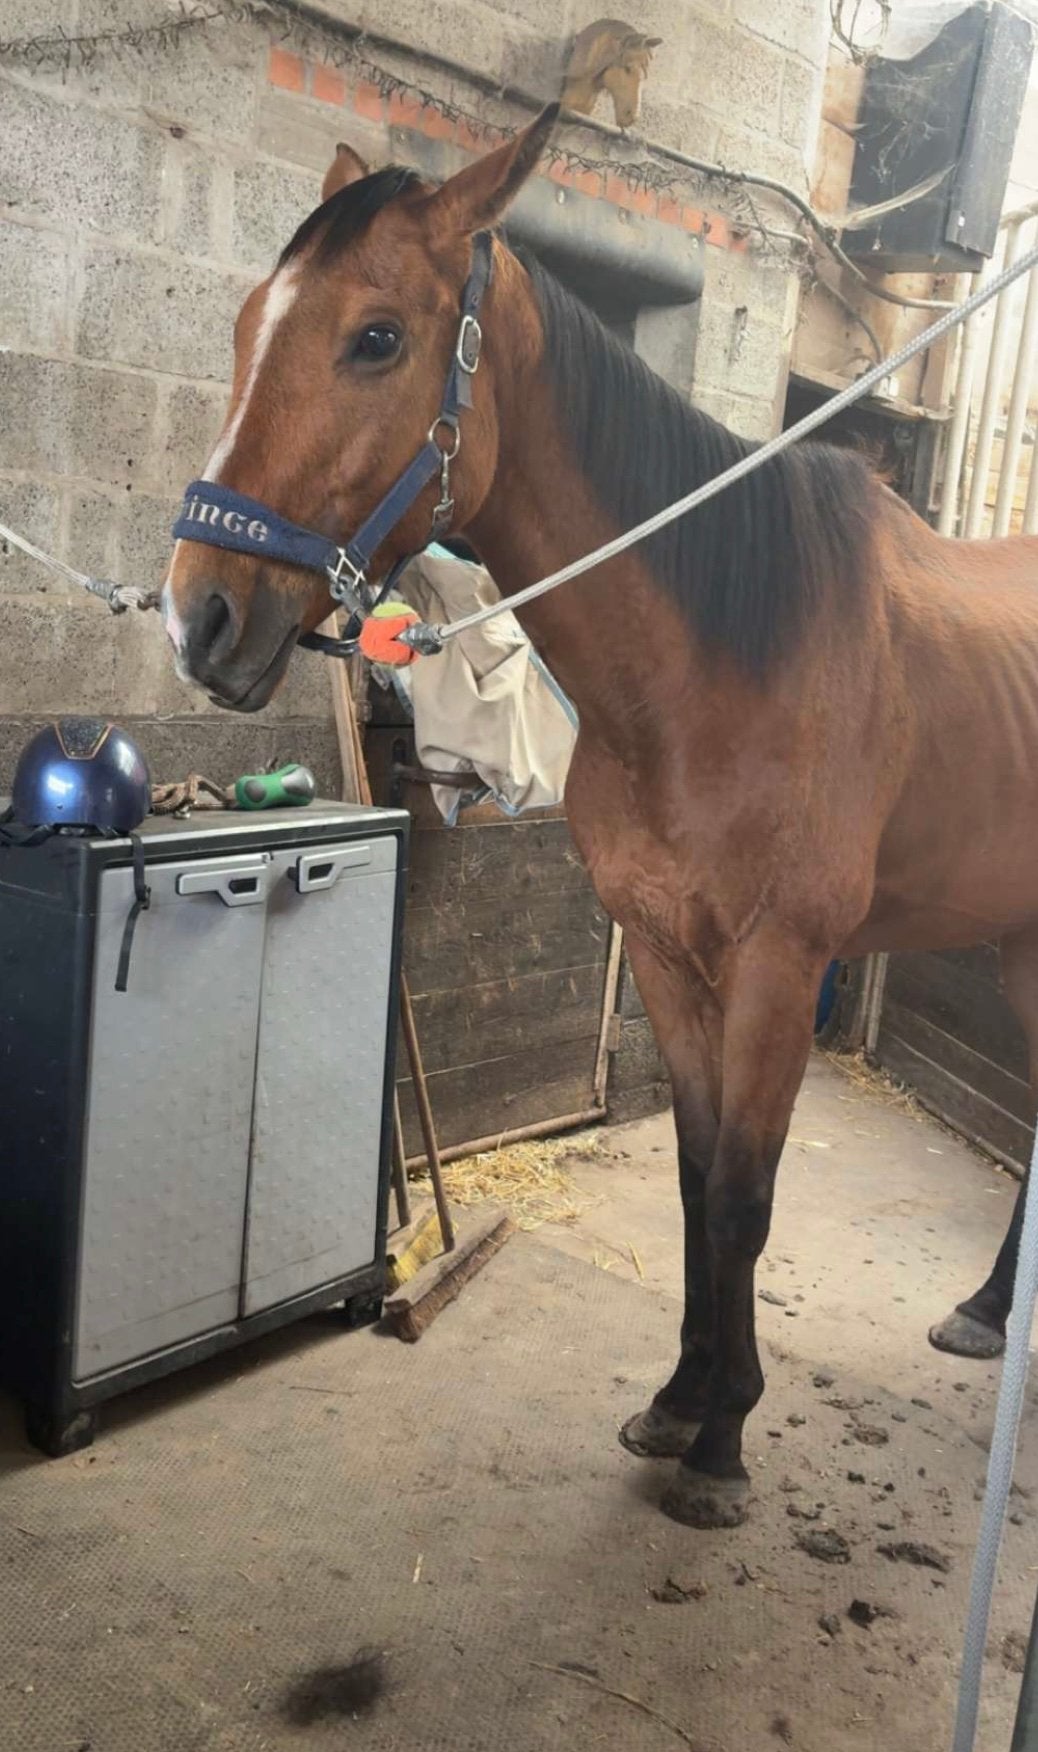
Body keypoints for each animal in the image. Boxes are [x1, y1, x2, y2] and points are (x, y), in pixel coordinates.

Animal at [162, 108, 1038, 1529]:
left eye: (376, 337)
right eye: (248, 320)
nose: (201, 618)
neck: (729, 654)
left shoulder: (776, 971)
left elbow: (743, 1200)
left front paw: (722, 1449)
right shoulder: (674, 963)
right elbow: (692, 1182)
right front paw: (681, 1401)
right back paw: (981, 1313)